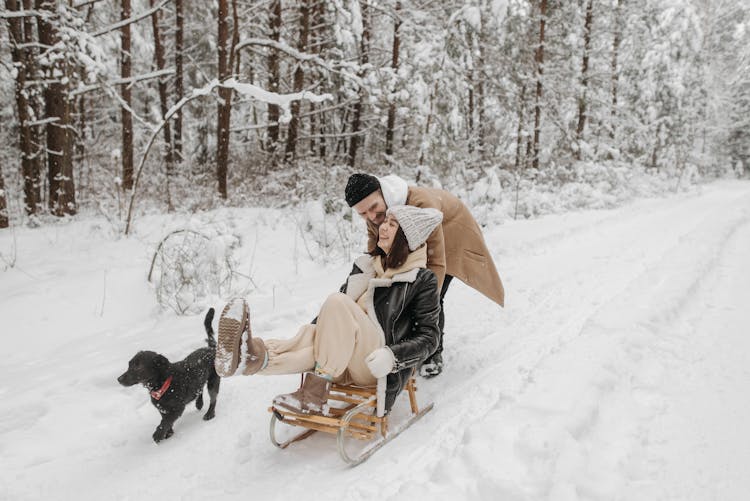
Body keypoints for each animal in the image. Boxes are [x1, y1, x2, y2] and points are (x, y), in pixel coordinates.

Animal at [118, 308, 220, 442]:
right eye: (129, 364)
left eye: (138, 366)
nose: (119, 379)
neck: (163, 384)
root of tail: (210, 349)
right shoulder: (163, 409)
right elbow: (166, 420)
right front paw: (169, 433)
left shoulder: (177, 408)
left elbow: (166, 421)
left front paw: (159, 434)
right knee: (199, 389)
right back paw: (199, 404)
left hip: (213, 382)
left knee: (213, 399)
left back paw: (209, 414)